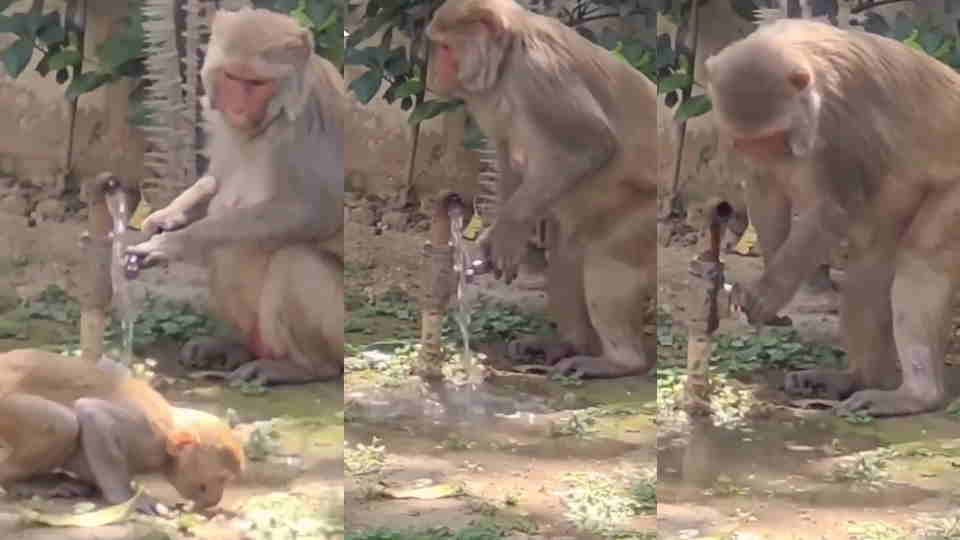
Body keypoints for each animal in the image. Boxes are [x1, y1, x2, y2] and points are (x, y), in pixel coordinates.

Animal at [0, 349, 244, 513]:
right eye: (221, 479)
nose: (216, 498)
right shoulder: (146, 433)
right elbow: (91, 412)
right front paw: (127, 498)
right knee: (63, 423)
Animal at [126, 8, 345, 385]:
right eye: (231, 76)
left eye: (256, 84)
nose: (239, 109)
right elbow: (215, 178)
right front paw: (166, 217)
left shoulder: (311, 120)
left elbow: (317, 211)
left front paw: (175, 243)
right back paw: (234, 347)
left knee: (291, 260)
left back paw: (302, 368)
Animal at [426, 0, 657, 378]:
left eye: (444, 48)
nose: (433, 72)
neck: (506, 59)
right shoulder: (484, 96)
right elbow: (506, 155)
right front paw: (498, 238)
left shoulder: (539, 73)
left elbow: (592, 145)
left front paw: (506, 235)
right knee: (569, 254)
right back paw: (568, 345)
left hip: (641, 212)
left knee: (605, 259)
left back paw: (618, 362)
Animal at [705, 18, 960, 416]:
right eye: (749, 143)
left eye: (771, 138)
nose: (769, 155)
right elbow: (765, 192)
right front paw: (771, 292)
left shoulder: (842, 120)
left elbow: (833, 208)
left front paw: (769, 293)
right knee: (867, 275)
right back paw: (859, 379)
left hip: (953, 195)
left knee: (922, 262)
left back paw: (918, 395)